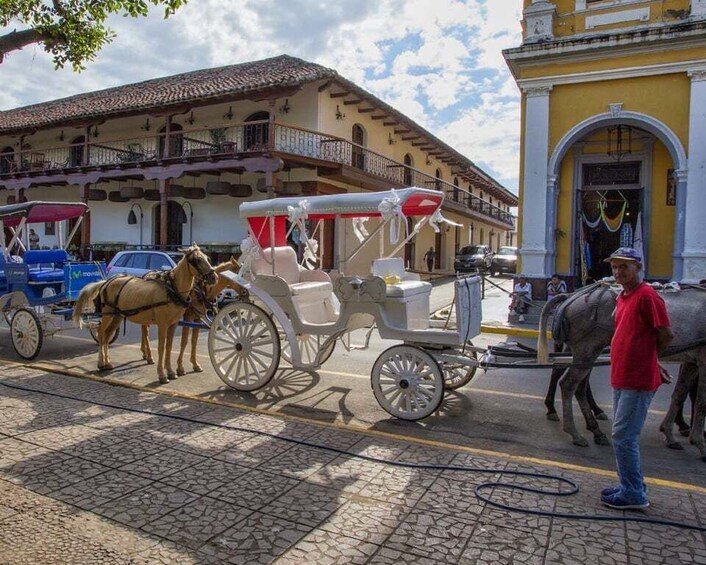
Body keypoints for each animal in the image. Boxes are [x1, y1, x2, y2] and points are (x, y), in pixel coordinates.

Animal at [73, 243, 214, 384]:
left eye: (207, 258)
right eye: (197, 260)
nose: (213, 277)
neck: (172, 290)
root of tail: (106, 282)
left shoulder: (173, 324)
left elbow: (169, 346)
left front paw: (170, 371)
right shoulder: (162, 324)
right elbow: (161, 347)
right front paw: (162, 374)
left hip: (118, 315)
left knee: (107, 335)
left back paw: (107, 363)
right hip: (108, 313)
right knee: (101, 333)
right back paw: (101, 362)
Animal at [532, 284, 704, 460]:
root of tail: (570, 297)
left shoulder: (691, 362)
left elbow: (680, 395)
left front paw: (670, 434)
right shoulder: (702, 359)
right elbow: (700, 402)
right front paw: (699, 442)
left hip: (587, 351)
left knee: (575, 383)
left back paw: (594, 429)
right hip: (587, 348)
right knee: (568, 384)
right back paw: (574, 432)